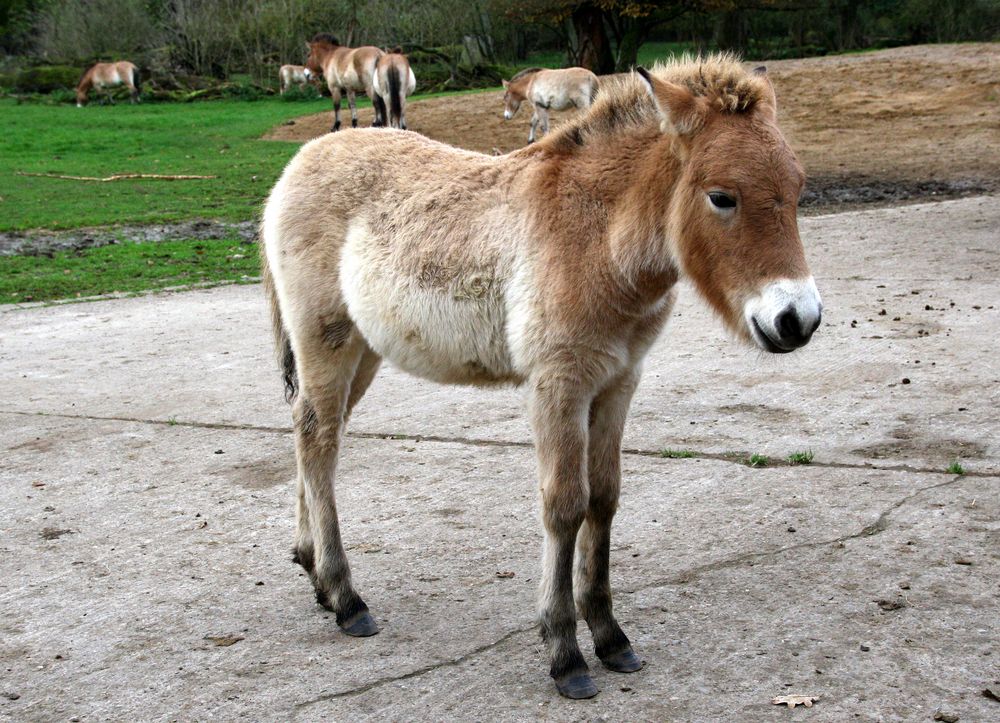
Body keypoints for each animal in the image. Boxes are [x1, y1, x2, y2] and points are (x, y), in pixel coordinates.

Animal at [258, 53, 820, 700]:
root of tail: (298, 164)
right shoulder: (559, 383)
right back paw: (346, 597)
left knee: (312, 435)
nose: (798, 320)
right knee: (318, 439)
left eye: (798, 189)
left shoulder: (620, 380)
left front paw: (611, 638)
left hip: (363, 350)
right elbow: (565, 505)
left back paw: (316, 574)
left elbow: (604, 499)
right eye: (722, 197)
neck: (597, 235)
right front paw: (566, 653)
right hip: (326, 340)